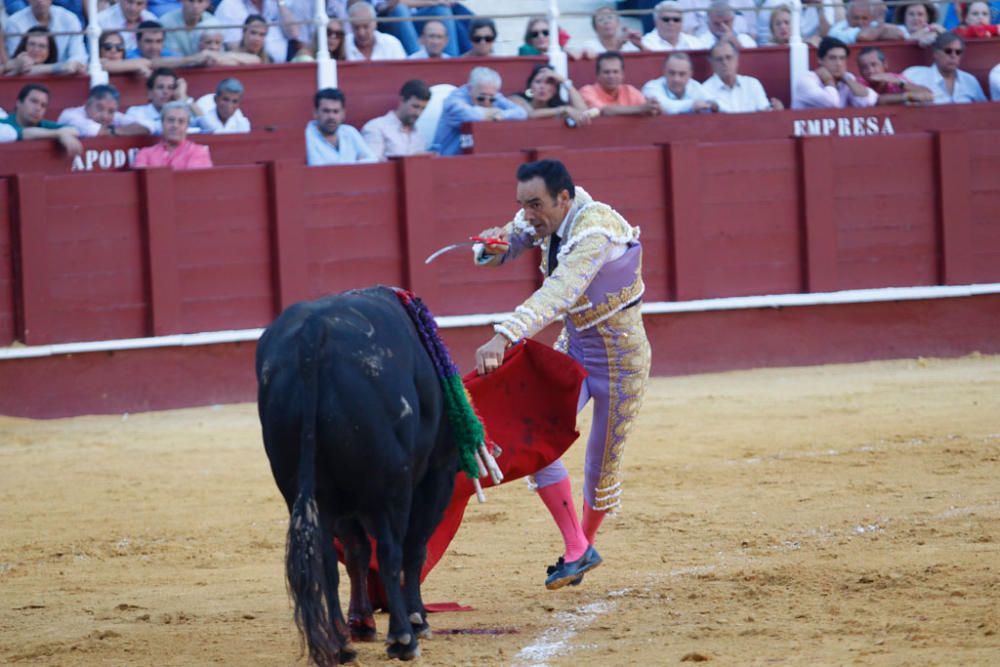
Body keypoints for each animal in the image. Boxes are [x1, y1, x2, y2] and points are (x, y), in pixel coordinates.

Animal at [260, 288, 458, 664]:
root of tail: (314, 331)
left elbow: (355, 552)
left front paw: (362, 624)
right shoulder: (437, 474)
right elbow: (414, 547)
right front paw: (417, 620)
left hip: (305, 490)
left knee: (325, 558)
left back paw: (340, 643)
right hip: (391, 488)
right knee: (393, 551)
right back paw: (402, 639)